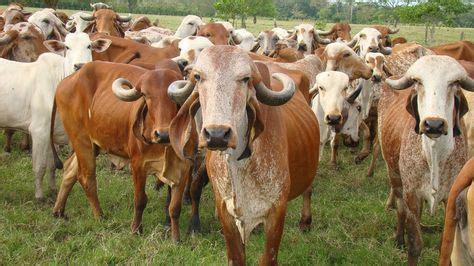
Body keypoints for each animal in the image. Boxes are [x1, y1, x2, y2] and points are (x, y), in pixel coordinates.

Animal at [0, 32, 111, 201]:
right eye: (67, 47)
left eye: (89, 46)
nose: (79, 66)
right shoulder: (39, 131)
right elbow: (39, 167)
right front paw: (39, 196)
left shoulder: (53, 134)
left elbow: (52, 165)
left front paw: (52, 190)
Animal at [51, 60, 198, 241]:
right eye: (146, 96)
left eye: (171, 97)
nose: (162, 134)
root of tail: (65, 82)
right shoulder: (138, 166)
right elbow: (140, 200)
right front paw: (136, 229)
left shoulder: (183, 167)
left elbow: (174, 207)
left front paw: (175, 238)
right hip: (82, 141)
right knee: (86, 178)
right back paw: (99, 216)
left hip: (92, 145)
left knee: (69, 170)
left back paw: (59, 211)